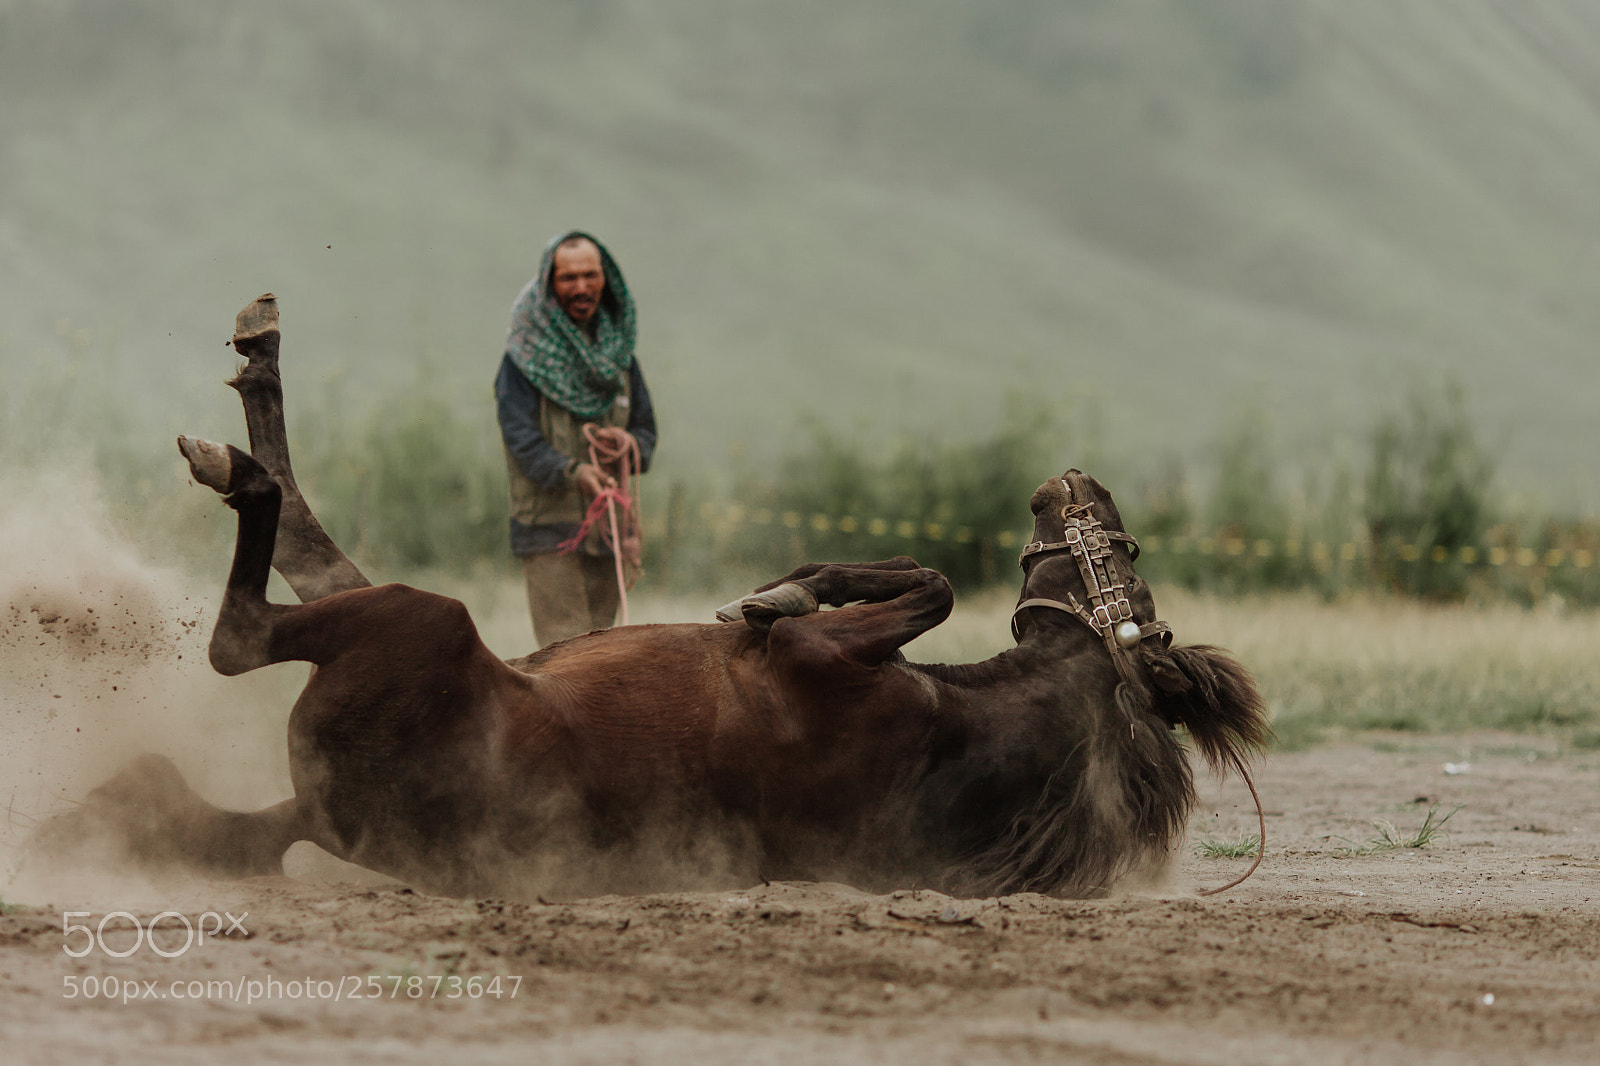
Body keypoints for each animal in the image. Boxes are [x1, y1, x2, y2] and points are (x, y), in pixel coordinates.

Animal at [43, 295, 1270, 900]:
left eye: (1133, 578)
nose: (1080, 484)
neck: (952, 734)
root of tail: (327, 816)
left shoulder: (833, 670)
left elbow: (922, 584)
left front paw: (774, 597)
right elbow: (923, 579)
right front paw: (782, 587)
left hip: (421, 623)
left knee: (243, 632)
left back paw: (229, 452)